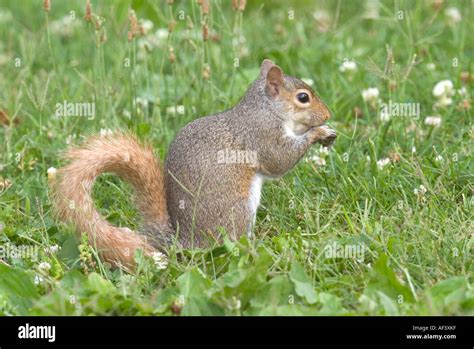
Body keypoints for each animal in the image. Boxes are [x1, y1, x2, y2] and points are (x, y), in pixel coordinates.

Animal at [51, 59, 336, 268]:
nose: (328, 114)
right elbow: (279, 160)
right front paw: (318, 133)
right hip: (238, 209)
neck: (267, 109)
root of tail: (186, 240)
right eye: (303, 97)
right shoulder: (262, 135)